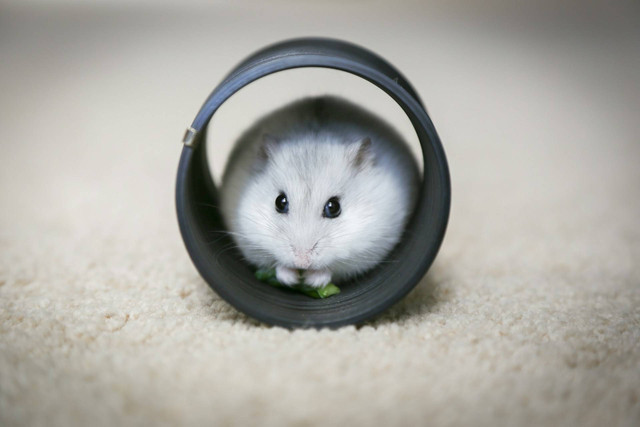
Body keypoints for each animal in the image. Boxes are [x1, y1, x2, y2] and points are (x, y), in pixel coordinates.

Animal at [220, 96, 419, 288]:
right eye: (279, 202)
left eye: (334, 207)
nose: (302, 262)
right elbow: (277, 265)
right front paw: (291, 278)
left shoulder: (368, 247)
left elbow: (333, 269)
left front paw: (312, 281)